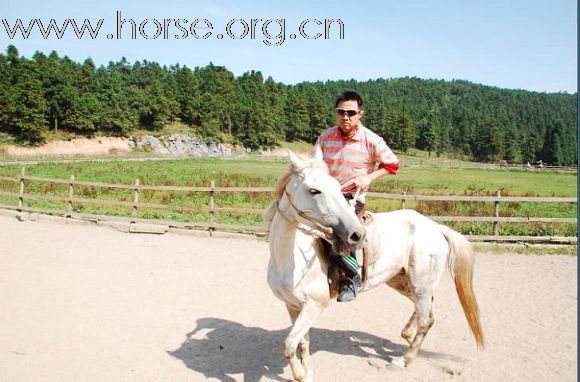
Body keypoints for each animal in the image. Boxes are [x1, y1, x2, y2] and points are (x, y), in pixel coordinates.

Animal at [268, 153, 484, 382]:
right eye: (314, 190)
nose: (357, 234)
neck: (290, 258)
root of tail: (437, 227)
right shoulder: (293, 305)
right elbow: (302, 343)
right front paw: (308, 372)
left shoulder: (315, 304)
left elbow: (289, 344)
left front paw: (301, 374)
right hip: (402, 282)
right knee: (428, 314)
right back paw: (407, 336)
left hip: (421, 286)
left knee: (426, 321)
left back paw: (403, 360)